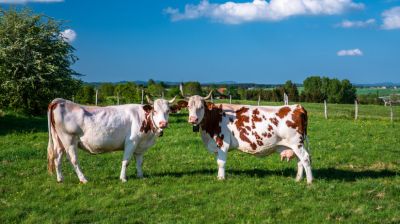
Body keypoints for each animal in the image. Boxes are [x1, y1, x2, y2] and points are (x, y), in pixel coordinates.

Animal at [47, 96, 176, 182]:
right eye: (155, 111)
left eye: (168, 111)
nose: (163, 123)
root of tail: (60, 101)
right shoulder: (132, 142)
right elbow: (126, 161)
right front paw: (123, 178)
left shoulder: (140, 145)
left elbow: (139, 161)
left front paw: (140, 176)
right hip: (69, 140)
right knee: (73, 159)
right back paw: (83, 179)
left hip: (58, 140)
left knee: (57, 157)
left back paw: (60, 179)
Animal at [178, 93, 312, 184]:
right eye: (188, 106)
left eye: (201, 107)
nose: (193, 119)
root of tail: (297, 106)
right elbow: (218, 161)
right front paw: (219, 176)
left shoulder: (222, 144)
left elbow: (221, 162)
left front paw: (221, 178)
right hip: (294, 145)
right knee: (299, 160)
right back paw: (298, 179)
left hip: (296, 143)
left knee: (305, 158)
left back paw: (309, 181)